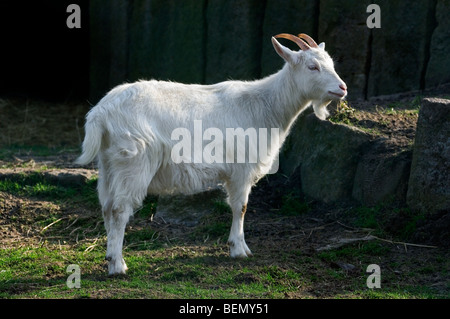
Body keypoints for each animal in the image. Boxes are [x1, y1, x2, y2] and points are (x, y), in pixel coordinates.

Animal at [75, 34, 346, 276]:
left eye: (331, 63)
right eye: (312, 66)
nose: (342, 88)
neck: (265, 106)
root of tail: (101, 112)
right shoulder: (241, 169)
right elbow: (241, 207)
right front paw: (239, 249)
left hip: (109, 164)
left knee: (107, 207)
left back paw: (111, 258)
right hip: (133, 162)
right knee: (120, 209)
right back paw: (118, 266)